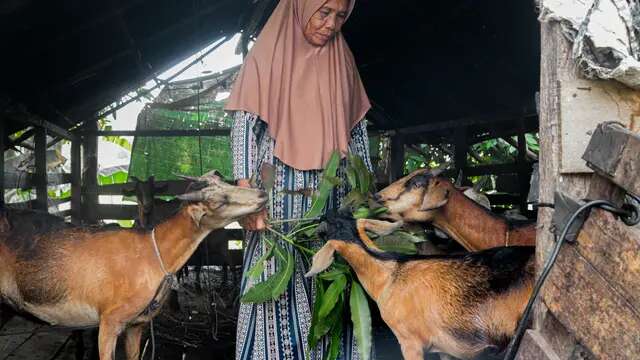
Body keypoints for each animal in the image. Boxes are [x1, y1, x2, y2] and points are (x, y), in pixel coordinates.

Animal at [0, 172, 264, 360]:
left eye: (224, 183)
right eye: (219, 201)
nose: (261, 194)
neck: (153, 252)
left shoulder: (136, 325)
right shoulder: (108, 323)